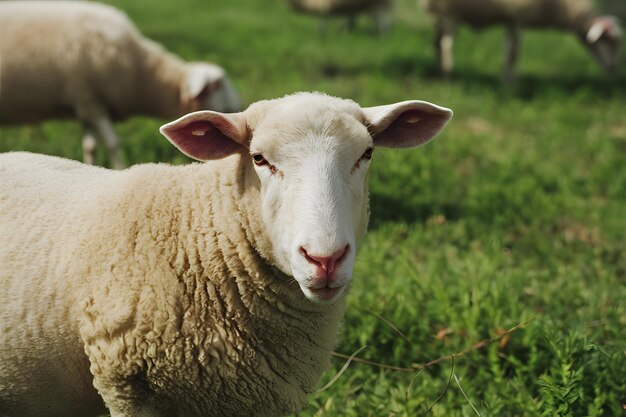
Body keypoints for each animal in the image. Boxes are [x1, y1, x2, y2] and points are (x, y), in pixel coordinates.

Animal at [0, 1, 240, 169]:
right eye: (217, 85)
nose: (239, 105)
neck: (142, 74)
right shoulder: (91, 100)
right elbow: (113, 144)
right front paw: (119, 169)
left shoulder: (86, 103)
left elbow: (90, 146)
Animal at [420, 0, 620, 81]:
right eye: (609, 41)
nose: (613, 68)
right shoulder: (518, 17)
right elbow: (513, 54)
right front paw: (511, 83)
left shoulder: (511, 20)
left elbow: (508, 53)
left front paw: (506, 79)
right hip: (448, 13)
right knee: (446, 45)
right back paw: (448, 74)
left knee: (436, 43)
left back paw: (440, 70)